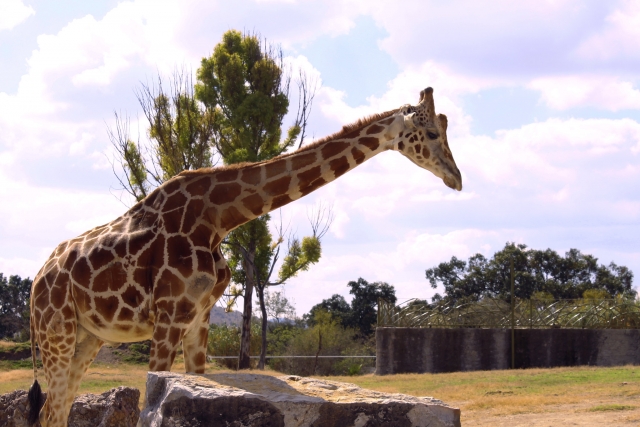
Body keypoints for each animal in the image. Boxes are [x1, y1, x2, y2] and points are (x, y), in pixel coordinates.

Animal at [27, 87, 461, 427]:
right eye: (431, 132)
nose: (456, 178)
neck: (220, 218)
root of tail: (37, 281)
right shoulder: (170, 313)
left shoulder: (199, 314)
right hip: (56, 333)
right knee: (51, 410)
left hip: (88, 337)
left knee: (57, 410)